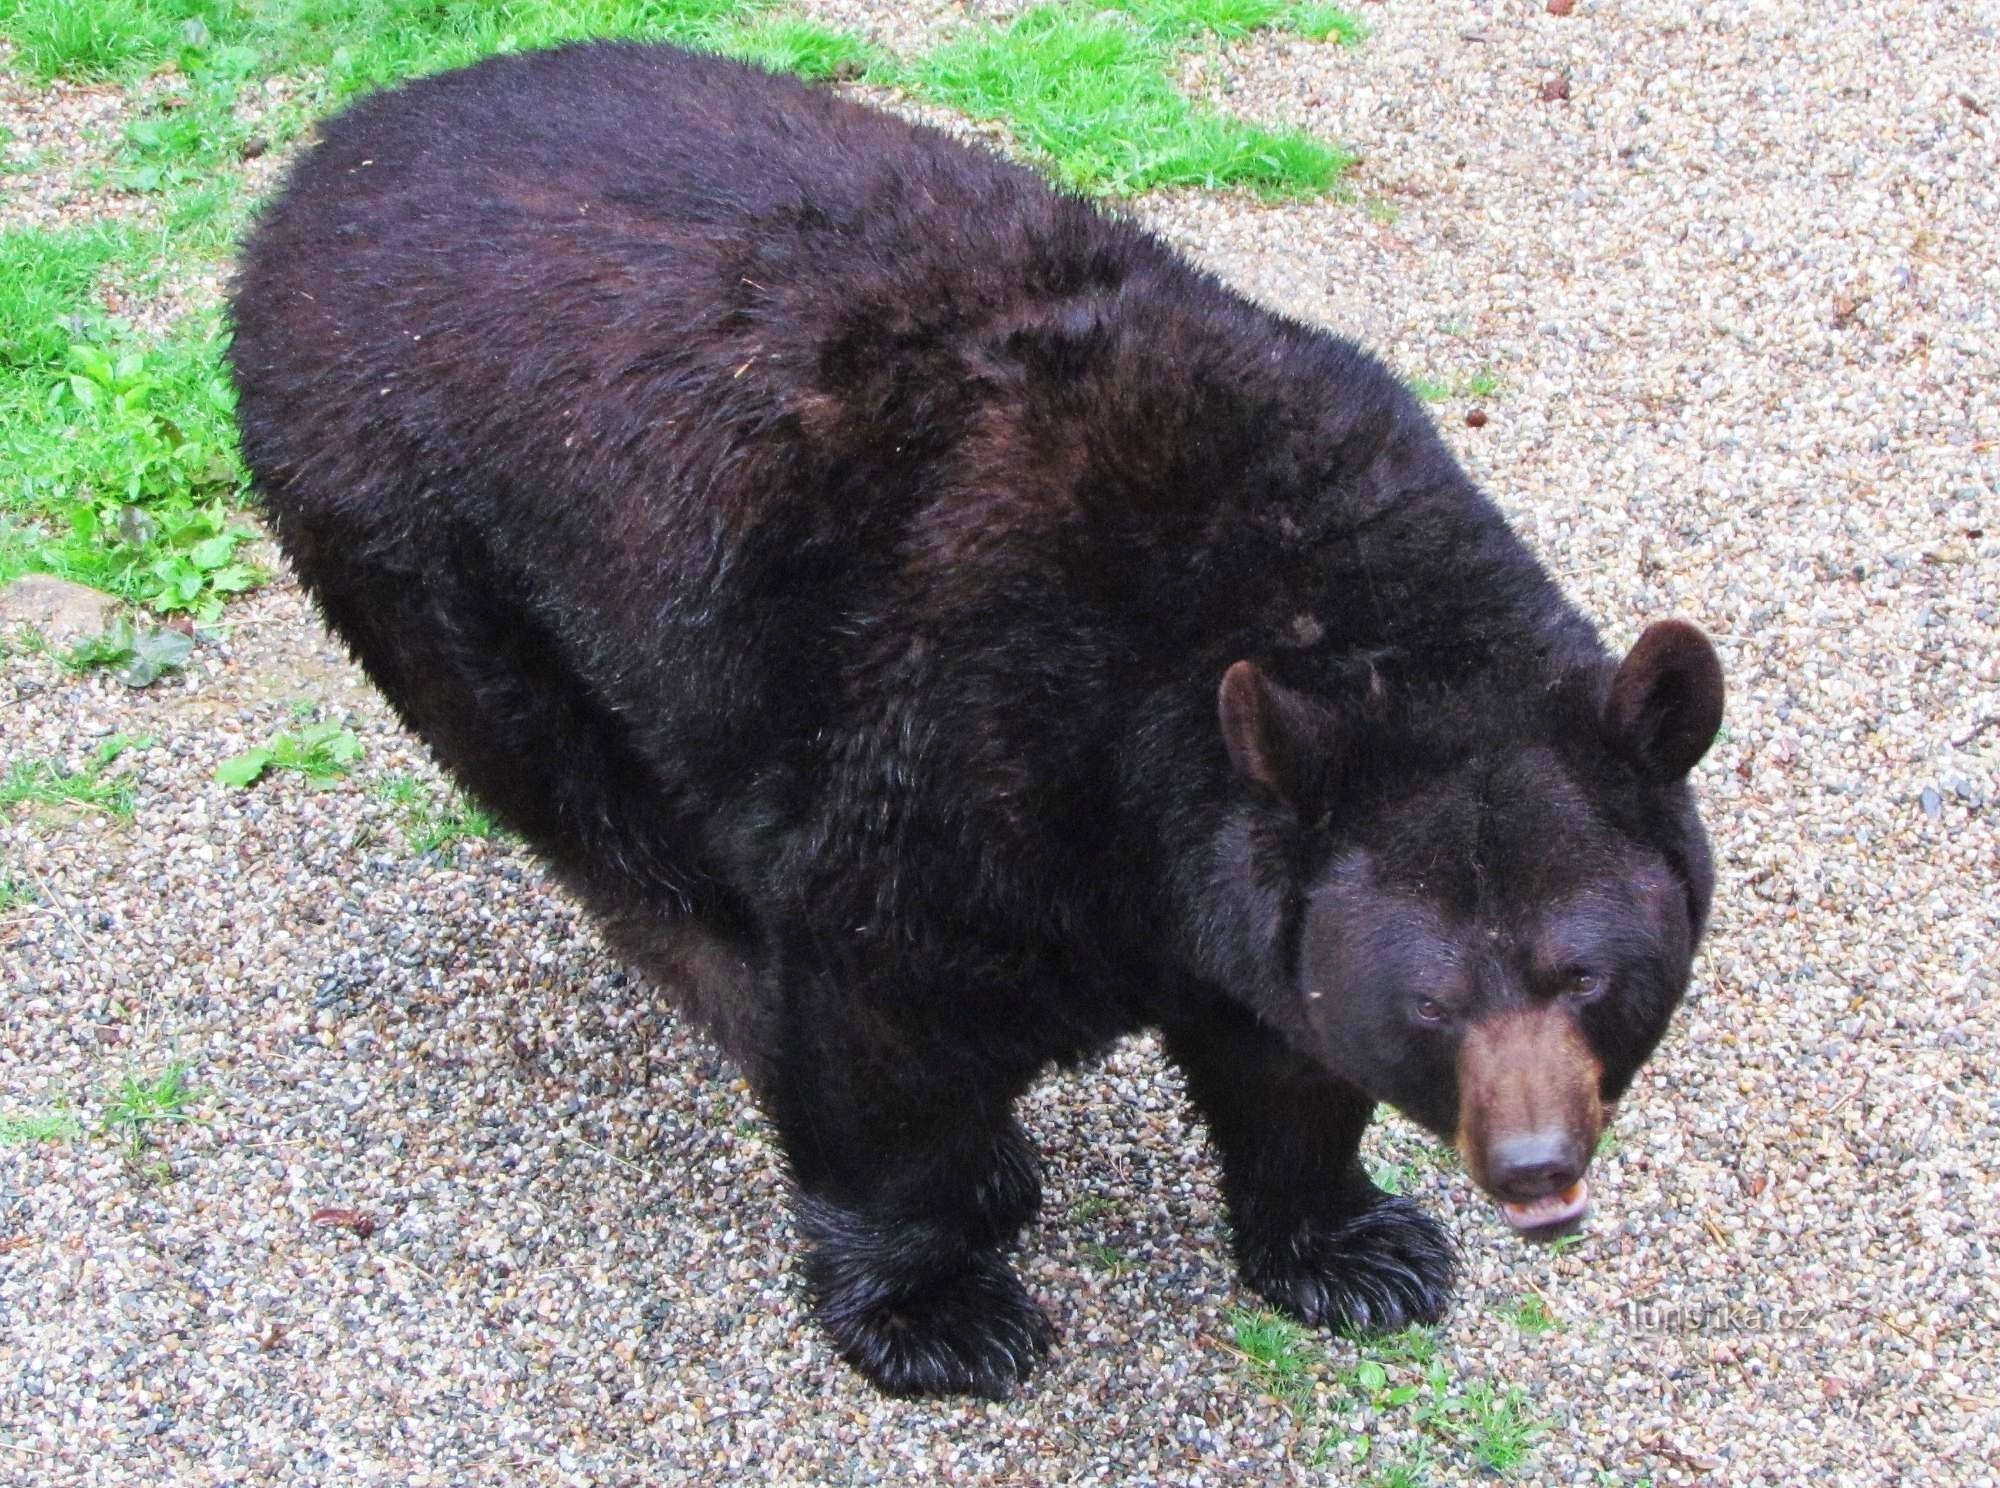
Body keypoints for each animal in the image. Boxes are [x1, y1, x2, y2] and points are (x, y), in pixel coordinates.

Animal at [227, 43, 1728, 1392]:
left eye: (1585, 976)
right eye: (1429, 1000)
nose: (1534, 1165)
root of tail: (328, 153)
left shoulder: (1243, 843)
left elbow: (1280, 1044)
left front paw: (1350, 1245)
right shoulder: (968, 742)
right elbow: (880, 1023)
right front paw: (934, 1308)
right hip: (420, 543)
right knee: (621, 840)